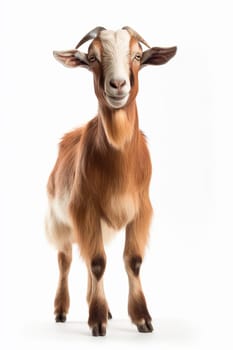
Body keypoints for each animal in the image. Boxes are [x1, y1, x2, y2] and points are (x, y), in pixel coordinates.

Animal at [46, 27, 177, 336]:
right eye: (93, 57)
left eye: (138, 56)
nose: (118, 85)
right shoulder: (85, 210)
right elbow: (97, 262)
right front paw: (96, 322)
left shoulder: (141, 210)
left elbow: (132, 261)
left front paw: (141, 318)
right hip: (59, 221)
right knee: (66, 260)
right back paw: (61, 310)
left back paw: (103, 307)